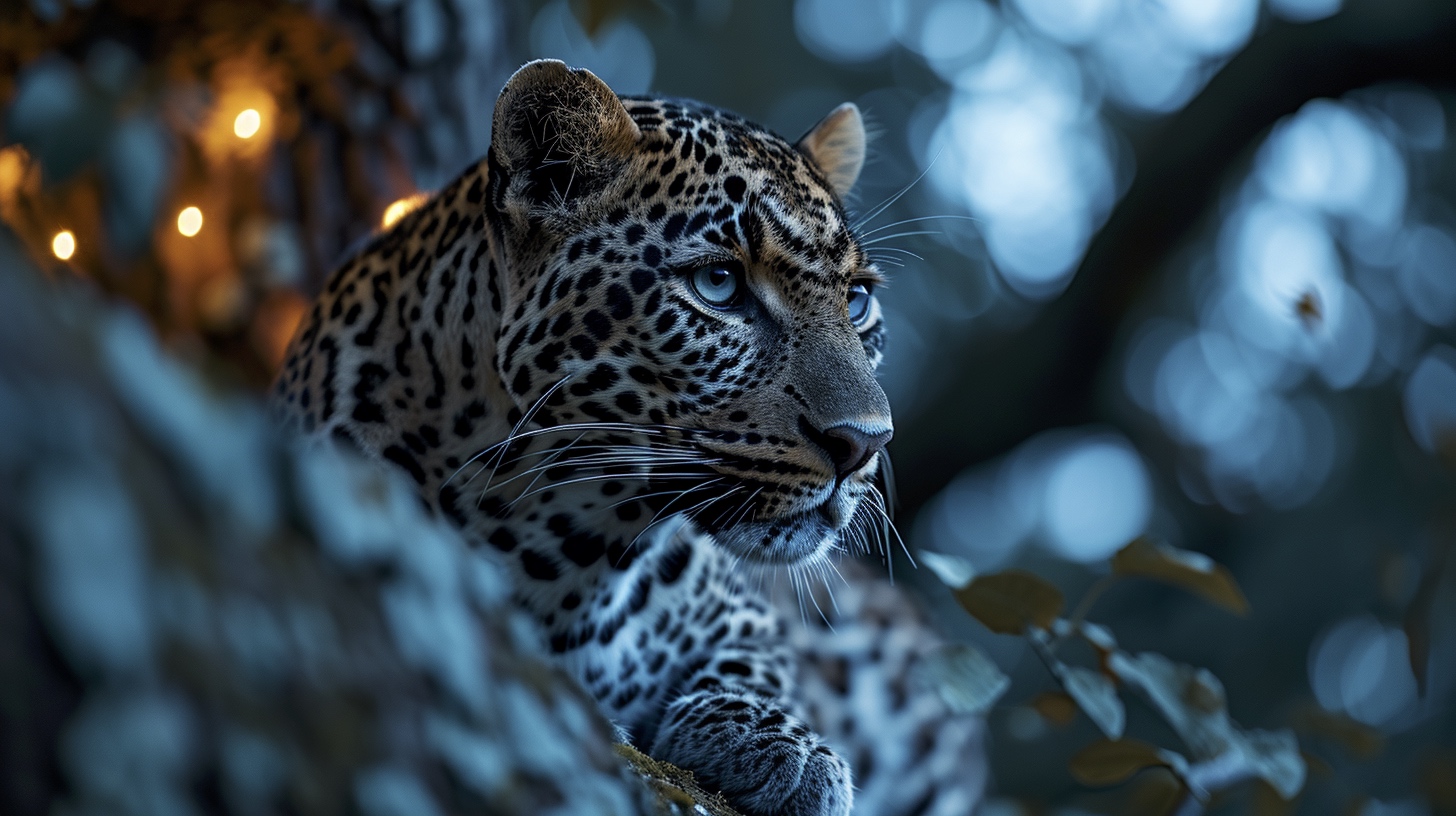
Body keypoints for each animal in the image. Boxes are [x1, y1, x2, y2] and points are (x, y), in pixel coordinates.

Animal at [272, 59, 985, 816]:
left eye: (857, 300)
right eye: (718, 283)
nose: (864, 443)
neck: (568, 561)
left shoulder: (750, 619)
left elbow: (765, 665)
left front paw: (786, 748)